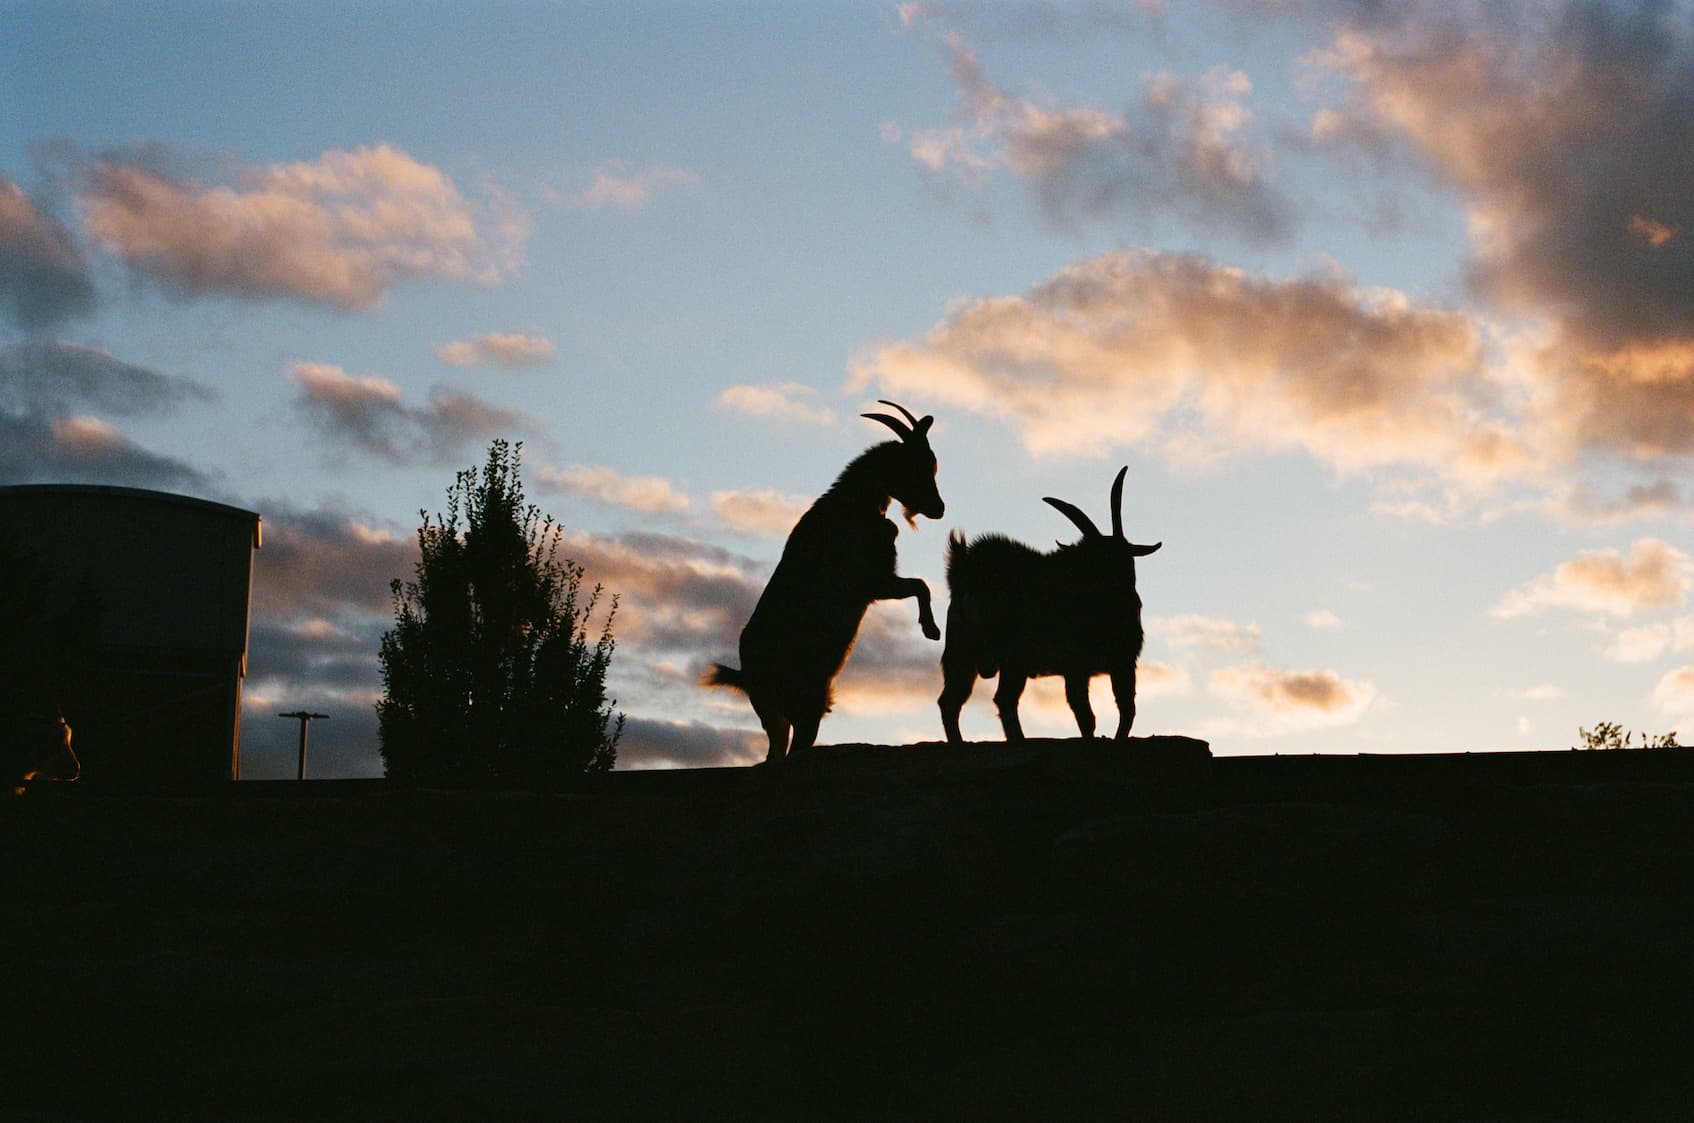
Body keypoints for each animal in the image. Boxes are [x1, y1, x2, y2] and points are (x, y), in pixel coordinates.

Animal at [705, 401, 945, 763]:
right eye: (916, 466)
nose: (939, 508)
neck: (855, 504)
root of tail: (746, 675)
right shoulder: (873, 582)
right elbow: (920, 585)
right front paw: (931, 630)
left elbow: (920, 585)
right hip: (803, 704)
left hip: (784, 711)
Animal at [938, 466, 1160, 743]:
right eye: (1092, 559)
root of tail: (965, 573)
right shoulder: (1090, 665)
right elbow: (1093, 715)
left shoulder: (1111, 665)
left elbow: (1121, 709)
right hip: (1011, 657)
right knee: (1002, 699)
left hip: (962, 653)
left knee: (951, 701)